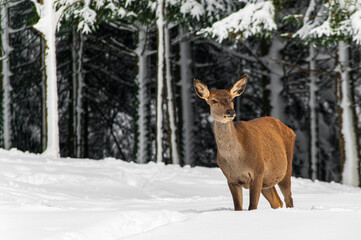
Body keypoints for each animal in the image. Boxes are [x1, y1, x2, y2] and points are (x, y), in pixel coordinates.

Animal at [193, 74, 294, 210]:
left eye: (231, 99)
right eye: (213, 100)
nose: (230, 112)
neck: (237, 160)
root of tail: (290, 130)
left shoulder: (257, 171)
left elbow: (252, 206)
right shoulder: (231, 179)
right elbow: (238, 208)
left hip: (286, 169)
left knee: (288, 198)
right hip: (267, 181)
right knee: (277, 202)